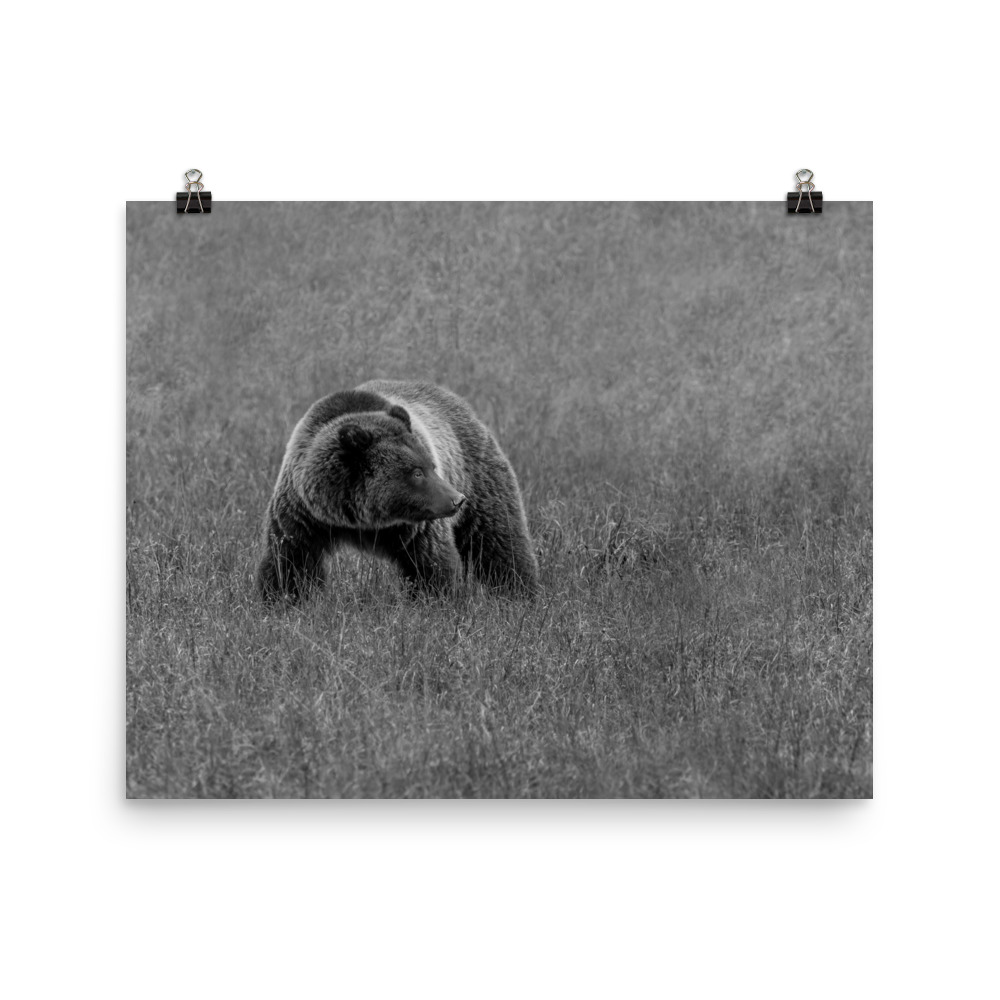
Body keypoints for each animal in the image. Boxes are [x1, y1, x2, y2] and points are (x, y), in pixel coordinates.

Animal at [255, 379, 539, 602]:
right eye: (417, 472)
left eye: (431, 465)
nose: (457, 500)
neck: (362, 519)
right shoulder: (304, 514)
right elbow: (290, 561)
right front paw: (283, 600)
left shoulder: (417, 527)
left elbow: (430, 564)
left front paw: (436, 601)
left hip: (478, 476)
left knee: (498, 540)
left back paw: (520, 593)